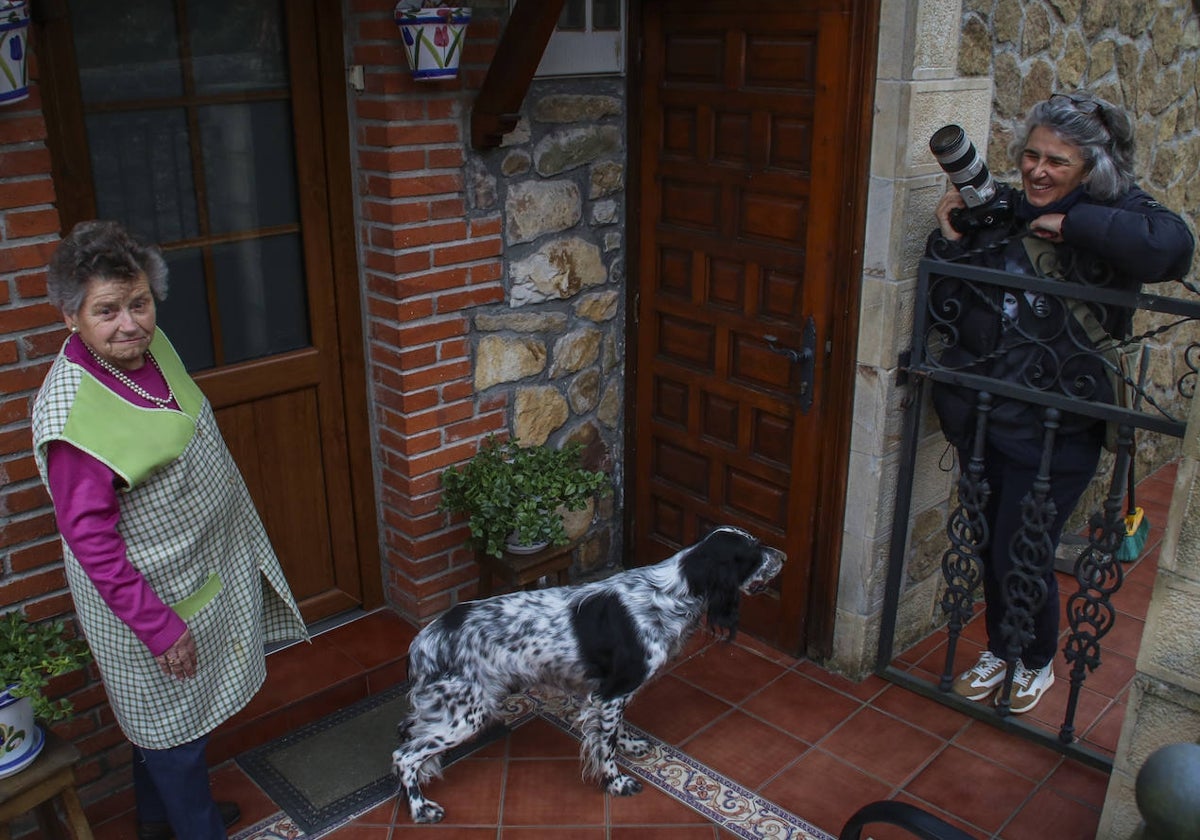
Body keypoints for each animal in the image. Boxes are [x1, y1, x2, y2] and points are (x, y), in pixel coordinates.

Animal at [391, 528, 787, 825]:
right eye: (754, 552)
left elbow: (613, 732)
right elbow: (605, 746)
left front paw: (630, 744)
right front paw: (617, 783)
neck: (671, 593)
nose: (783, 556)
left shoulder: (608, 695)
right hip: (464, 715)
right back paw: (421, 808)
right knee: (404, 756)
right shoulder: (612, 693)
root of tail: (423, 641)